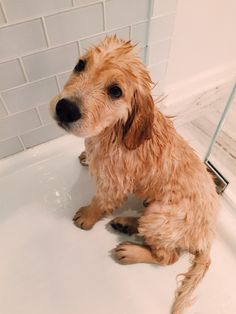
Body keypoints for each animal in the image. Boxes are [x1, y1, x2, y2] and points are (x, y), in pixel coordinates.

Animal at [49, 35, 219, 312]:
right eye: (80, 65)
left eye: (115, 91)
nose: (66, 108)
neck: (113, 132)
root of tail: (206, 239)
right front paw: (86, 156)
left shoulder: (114, 183)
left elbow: (100, 201)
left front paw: (87, 217)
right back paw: (126, 223)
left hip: (160, 216)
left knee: (168, 256)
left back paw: (131, 250)